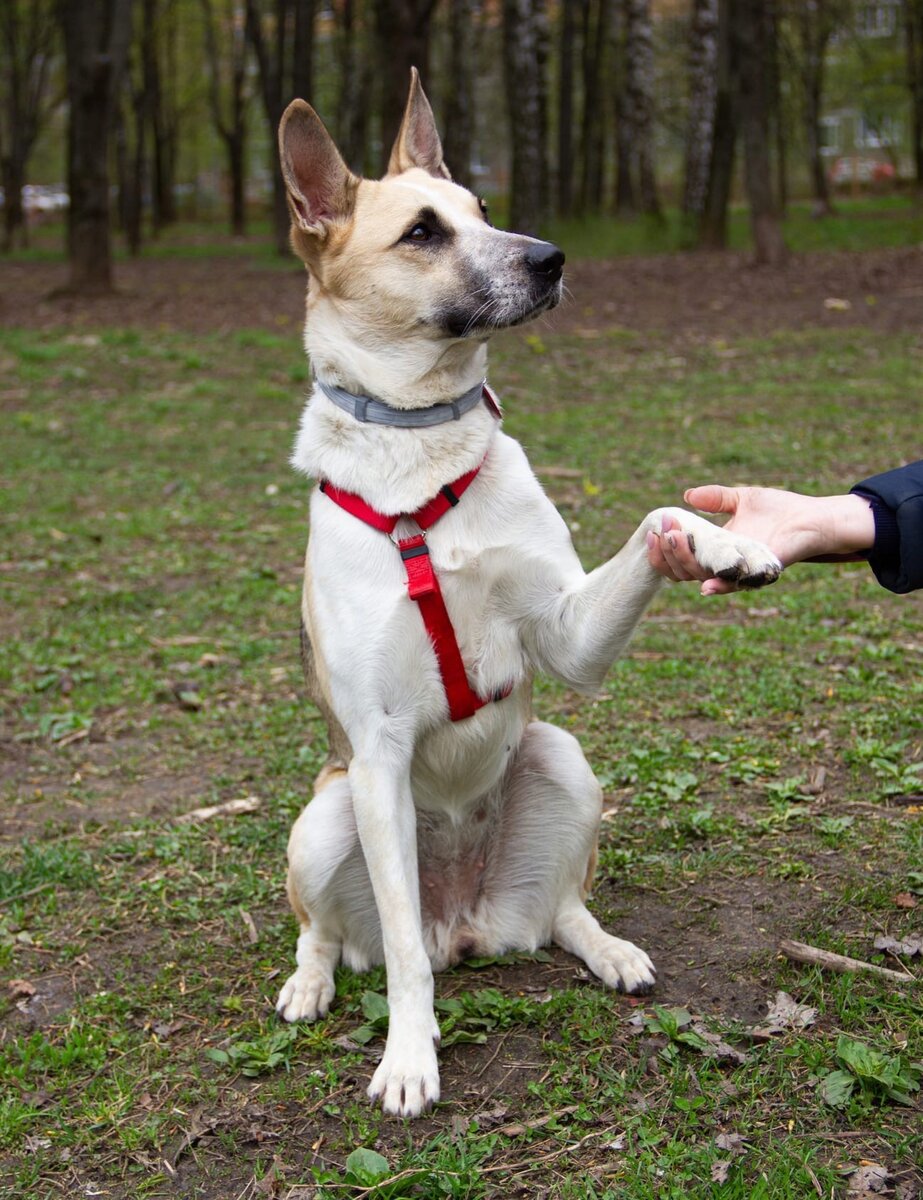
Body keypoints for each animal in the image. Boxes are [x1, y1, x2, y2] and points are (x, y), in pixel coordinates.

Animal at [273, 72, 777, 1113]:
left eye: (482, 208)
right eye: (422, 232)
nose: (551, 258)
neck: (421, 455)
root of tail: (464, 922)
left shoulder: (566, 629)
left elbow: (657, 518)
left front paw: (724, 539)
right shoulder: (376, 751)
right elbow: (398, 964)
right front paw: (409, 1058)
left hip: (560, 757)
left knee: (560, 911)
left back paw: (608, 948)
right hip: (326, 814)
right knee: (340, 933)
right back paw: (310, 980)